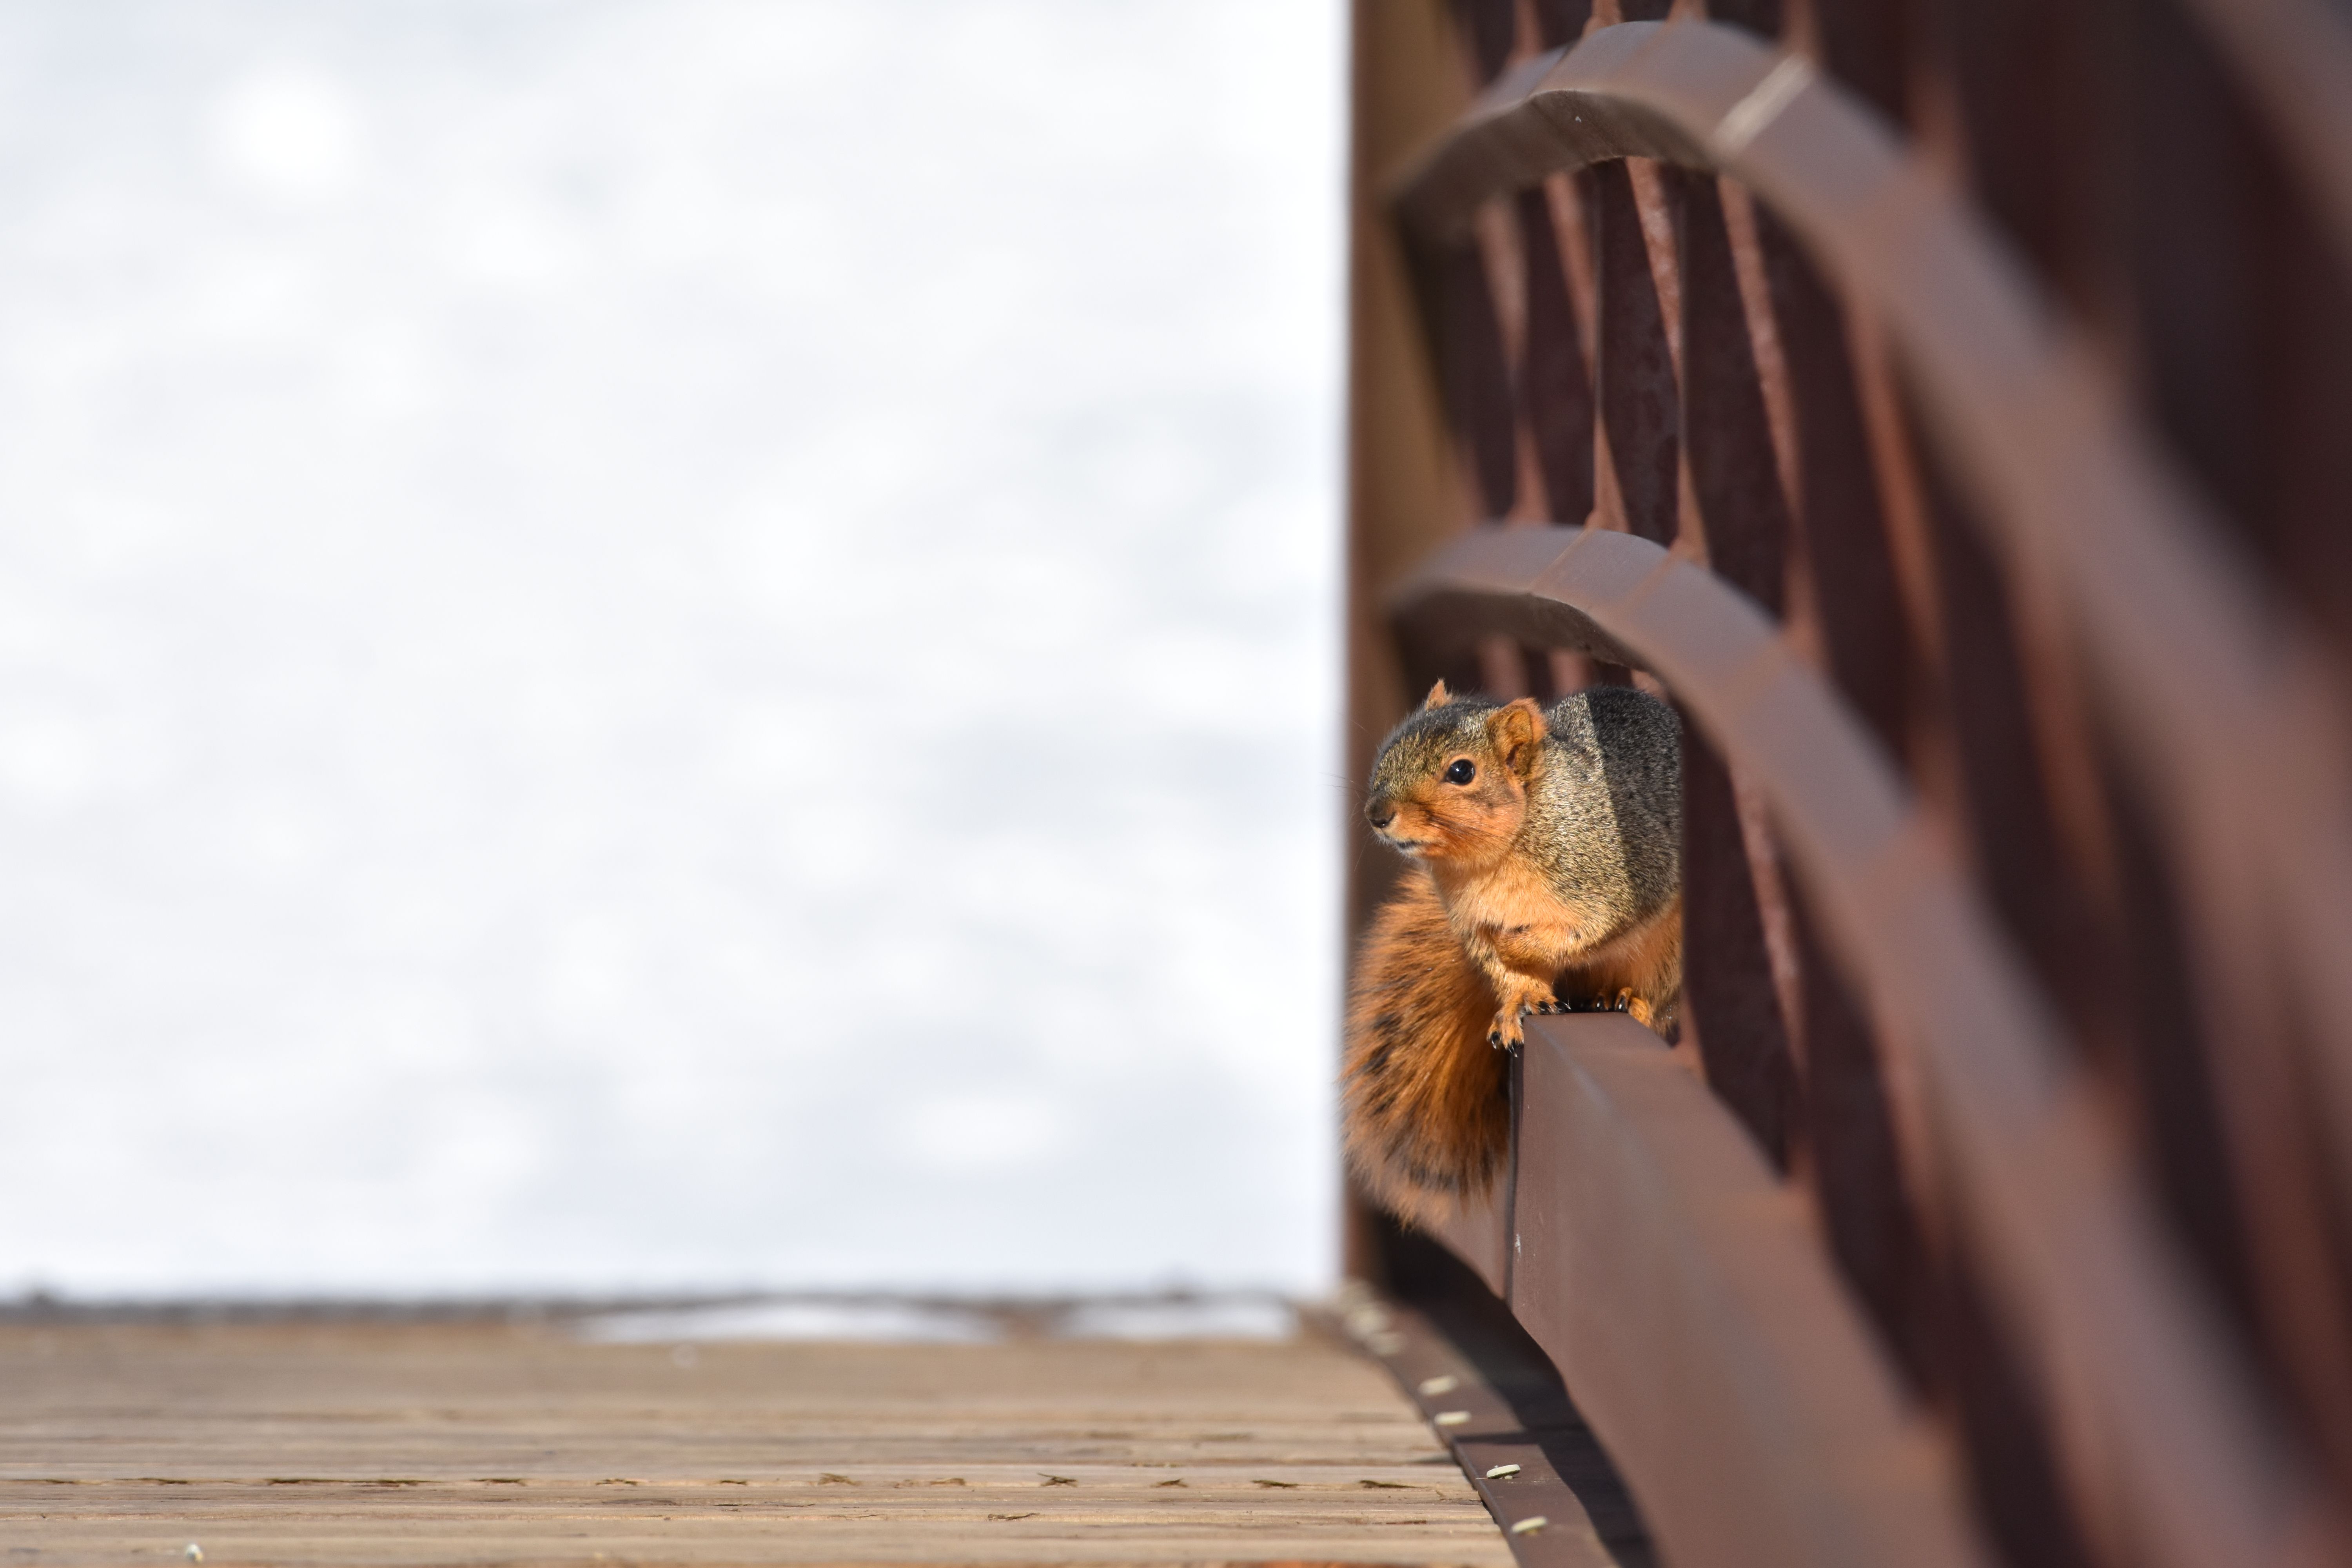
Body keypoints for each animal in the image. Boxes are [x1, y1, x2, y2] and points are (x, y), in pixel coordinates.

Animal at [1342, 679, 1683, 1227]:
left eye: (1462, 771)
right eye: (1389, 748)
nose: (1377, 814)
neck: (1492, 858)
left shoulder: (1620, 879)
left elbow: (1582, 931)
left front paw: (1517, 938)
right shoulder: (1469, 922)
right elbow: (1509, 971)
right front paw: (1519, 1002)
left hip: (1670, 948)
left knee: (1652, 989)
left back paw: (1629, 998)